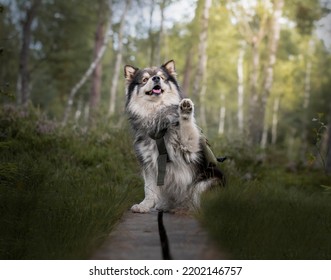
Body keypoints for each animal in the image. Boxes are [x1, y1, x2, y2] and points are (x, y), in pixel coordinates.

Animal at [124, 59, 226, 212]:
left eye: (162, 77)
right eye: (145, 79)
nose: (156, 78)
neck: (158, 118)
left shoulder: (189, 150)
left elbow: (187, 127)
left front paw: (185, 110)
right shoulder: (148, 163)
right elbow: (149, 189)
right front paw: (145, 205)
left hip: (207, 181)